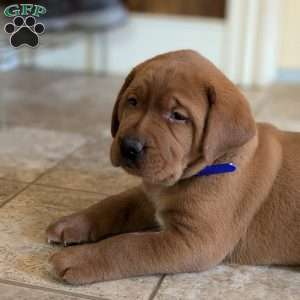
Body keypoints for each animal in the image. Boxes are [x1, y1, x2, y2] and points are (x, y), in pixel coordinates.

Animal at [47, 49, 300, 284]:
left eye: (178, 116)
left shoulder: (195, 240)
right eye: (132, 101)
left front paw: (78, 258)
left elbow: (128, 245)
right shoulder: (148, 195)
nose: (129, 146)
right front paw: (72, 223)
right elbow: (113, 204)